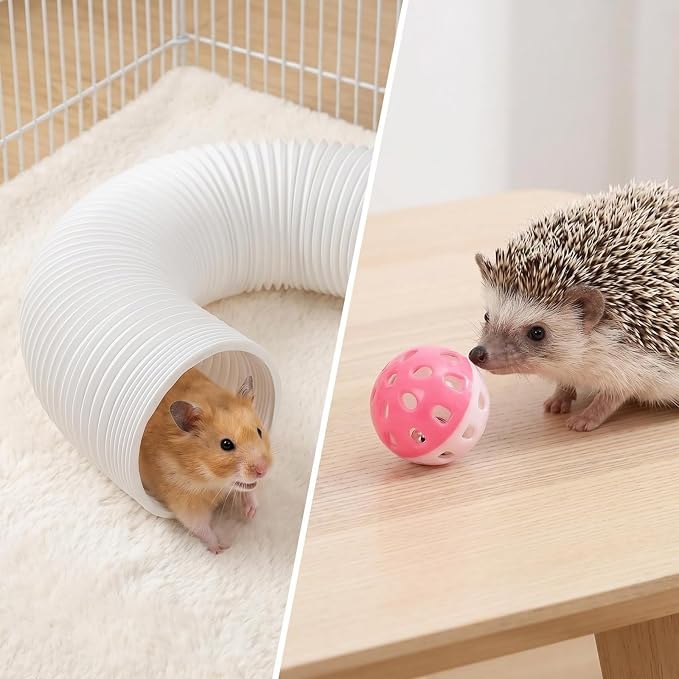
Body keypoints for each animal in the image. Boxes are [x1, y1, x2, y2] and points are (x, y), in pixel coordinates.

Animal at [140, 367, 273, 554]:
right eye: (226, 444)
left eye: (259, 431)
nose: (263, 470)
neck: (211, 481)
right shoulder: (185, 502)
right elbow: (200, 527)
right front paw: (220, 548)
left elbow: (249, 490)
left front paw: (251, 513)